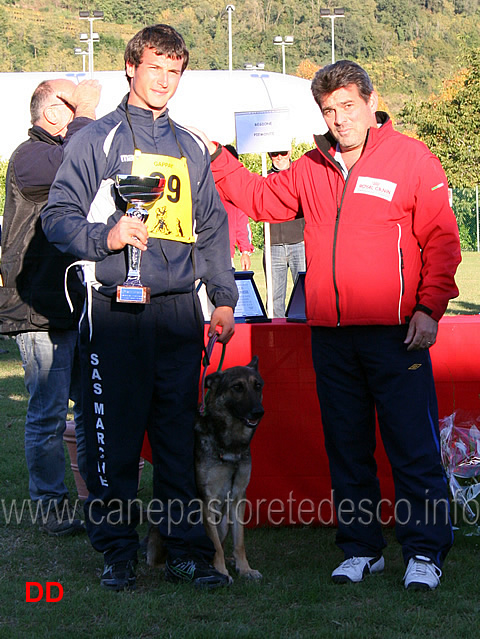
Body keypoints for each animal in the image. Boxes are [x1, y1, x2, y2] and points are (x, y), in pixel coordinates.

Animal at [194, 358, 264, 584]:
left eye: (257, 386)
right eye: (237, 387)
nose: (259, 412)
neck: (230, 444)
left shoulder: (238, 496)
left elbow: (239, 541)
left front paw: (245, 569)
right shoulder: (208, 500)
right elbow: (214, 544)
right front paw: (221, 572)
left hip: (224, 521)